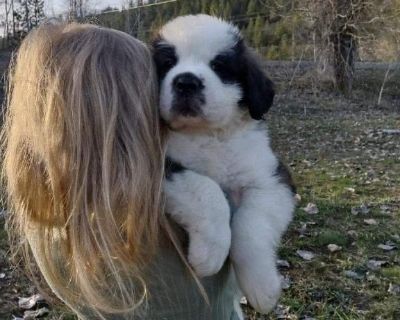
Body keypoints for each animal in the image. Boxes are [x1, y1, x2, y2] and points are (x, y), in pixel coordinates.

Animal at [153, 14, 296, 312]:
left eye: (218, 66)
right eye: (168, 63)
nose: (186, 82)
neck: (207, 135)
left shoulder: (271, 178)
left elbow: (250, 225)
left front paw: (262, 287)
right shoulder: (162, 165)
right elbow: (207, 190)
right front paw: (209, 255)